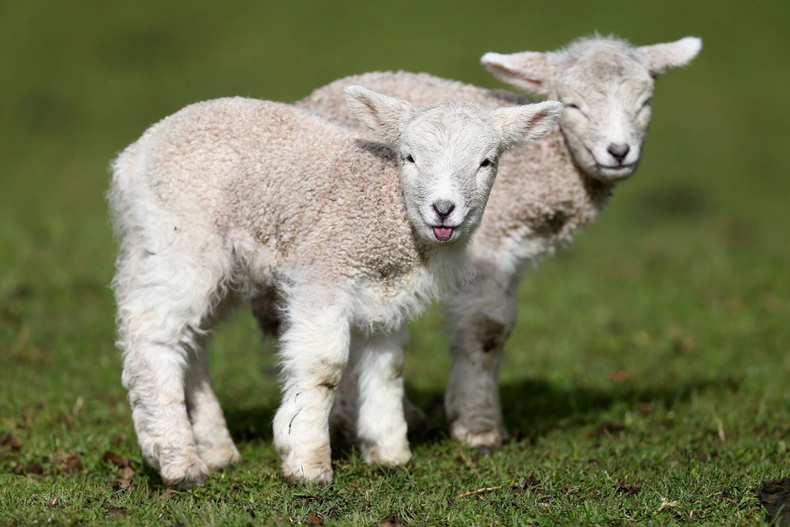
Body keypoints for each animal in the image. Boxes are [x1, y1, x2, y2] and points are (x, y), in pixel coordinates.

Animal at [109, 86, 564, 488]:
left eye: (487, 162)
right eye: (409, 156)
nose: (443, 209)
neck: (385, 209)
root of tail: (133, 156)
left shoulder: (388, 294)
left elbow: (388, 366)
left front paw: (388, 451)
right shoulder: (324, 272)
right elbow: (323, 367)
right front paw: (306, 460)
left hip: (208, 258)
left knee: (192, 338)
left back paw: (216, 449)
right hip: (182, 238)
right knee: (153, 332)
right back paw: (179, 461)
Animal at [256, 35, 701, 451]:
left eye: (645, 103)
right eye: (573, 106)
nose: (619, 152)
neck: (542, 163)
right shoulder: (488, 246)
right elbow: (486, 329)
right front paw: (478, 426)